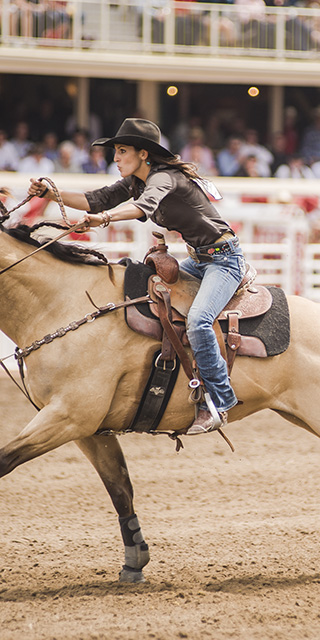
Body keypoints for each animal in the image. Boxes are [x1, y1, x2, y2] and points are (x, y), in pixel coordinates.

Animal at [0, 222, 320, 584]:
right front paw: (134, 562)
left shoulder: (69, 416)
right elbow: (120, 488)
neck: (60, 304)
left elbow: (4, 460)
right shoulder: (88, 429)